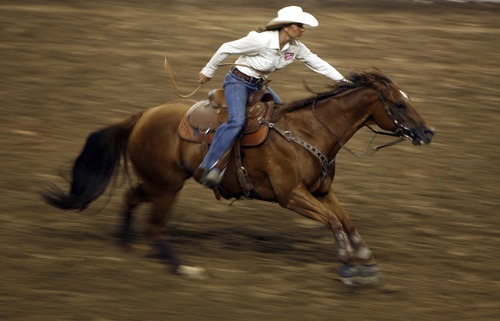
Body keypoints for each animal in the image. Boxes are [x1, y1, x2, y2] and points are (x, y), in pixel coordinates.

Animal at [42, 69, 434, 284]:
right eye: (399, 104)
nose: (428, 132)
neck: (307, 132)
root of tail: (141, 116)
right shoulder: (290, 196)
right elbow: (334, 223)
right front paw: (350, 267)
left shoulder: (322, 190)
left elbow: (346, 220)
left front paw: (366, 260)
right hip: (167, 187)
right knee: (155, 227)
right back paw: (184, 269)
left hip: (158, 183)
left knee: (131, 199)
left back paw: (125, 243)